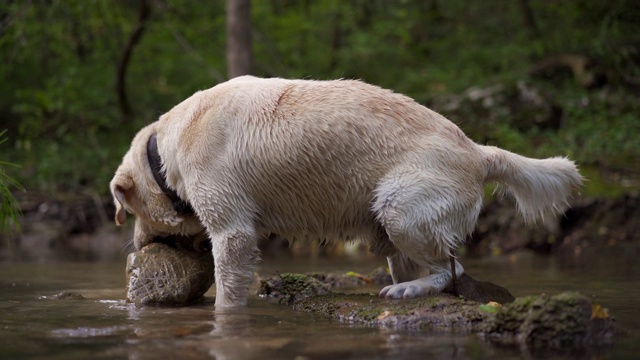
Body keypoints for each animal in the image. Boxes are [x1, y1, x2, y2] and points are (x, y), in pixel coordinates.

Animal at [110, 76, 580, 310]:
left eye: (129, 211)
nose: (136, 246)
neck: (164, 148)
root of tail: (479, 151)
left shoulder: (233, 231)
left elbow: (227, 293)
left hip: (401, 205)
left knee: (452, 270)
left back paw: (409, 291)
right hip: (393, 226)